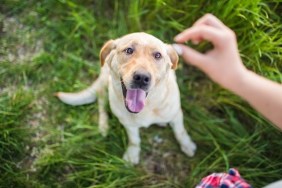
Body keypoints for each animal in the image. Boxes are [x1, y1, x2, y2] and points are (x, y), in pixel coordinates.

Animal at [55, 32, 196, 164]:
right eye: (129, 50)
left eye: (157, 55)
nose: (141, 77)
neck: (146, 108)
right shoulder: (128, 124)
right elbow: (134, 140)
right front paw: (132, 153)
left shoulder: (176, 114)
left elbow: (180, 131)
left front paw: (187, 144)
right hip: (105, 83)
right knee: (101, 101)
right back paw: (103, 125)